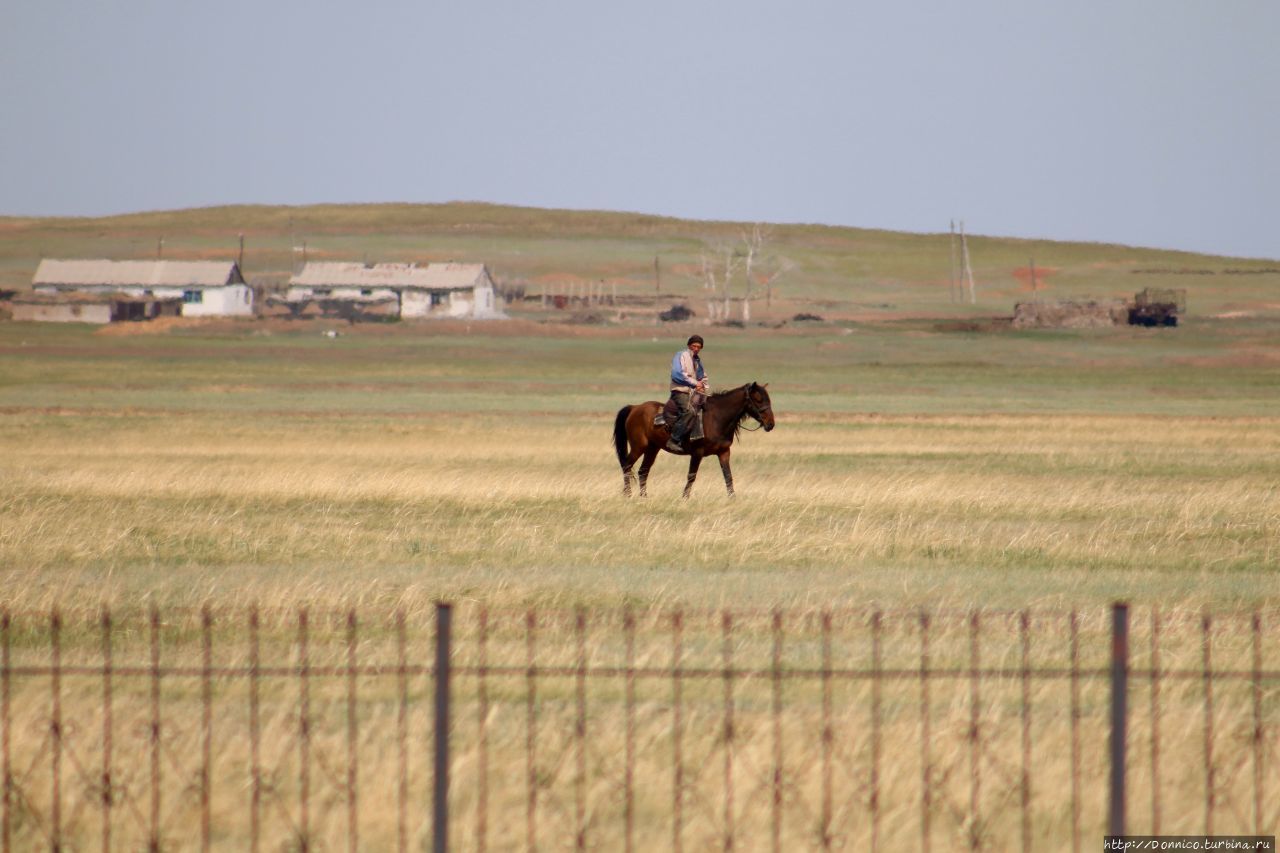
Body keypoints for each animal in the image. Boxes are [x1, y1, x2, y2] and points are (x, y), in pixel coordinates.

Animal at [614, 379, 773, 494]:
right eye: (758, 400)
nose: (771, 424)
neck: (717, 418)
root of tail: (635, 408)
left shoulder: (724, 452)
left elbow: (728, 477)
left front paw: (732, 499)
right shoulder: (697, 453)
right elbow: (691, 476)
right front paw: (684, 498)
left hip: (652, 449)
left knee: (643, 471)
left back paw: (644, 497)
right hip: (639, 446)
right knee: (627, 466)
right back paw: (627, 494)